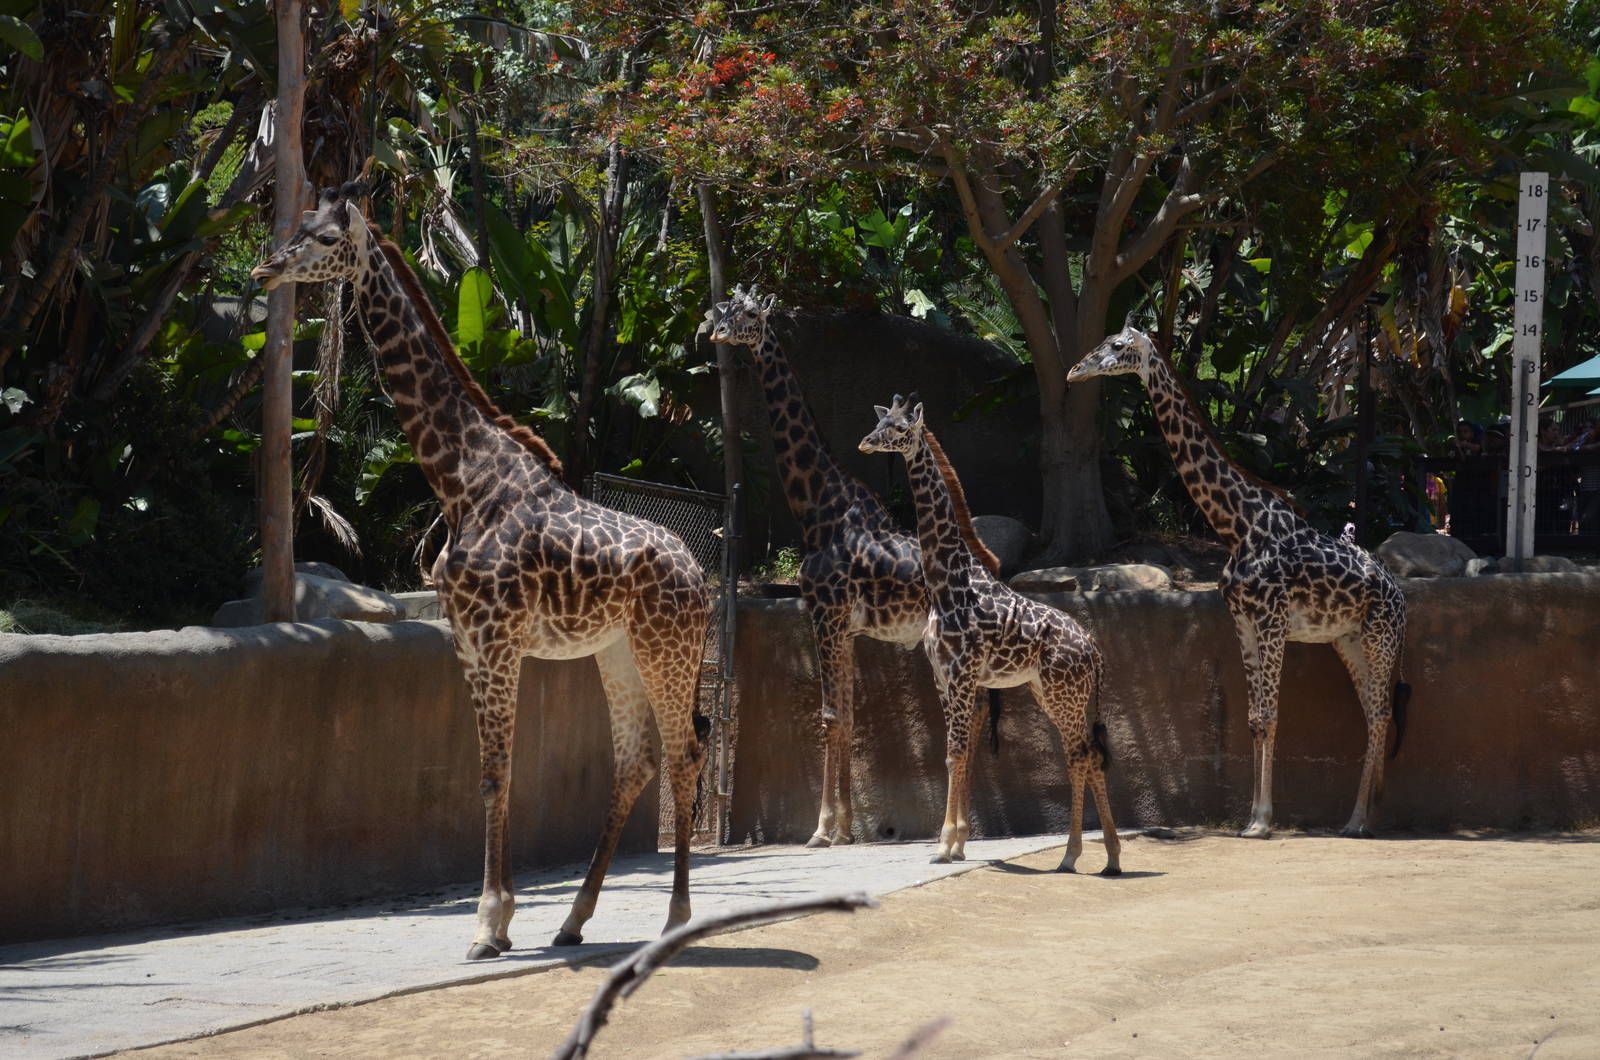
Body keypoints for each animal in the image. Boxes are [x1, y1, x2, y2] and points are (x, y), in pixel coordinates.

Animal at [251, 183, 711, 958]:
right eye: (299, 224)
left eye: (324, 239)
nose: (265, 269)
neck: (459, 479)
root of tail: (703, 578)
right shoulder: (467, 642)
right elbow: (492, 772)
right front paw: (504, 920)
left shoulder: (497, 639)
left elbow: (498, 774)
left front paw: (488, 923)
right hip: (616, 649)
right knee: (637, 761)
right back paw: (573, 920)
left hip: (666, 649)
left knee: (683, 755)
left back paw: (675, 920)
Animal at [708, 286, 1002, 847]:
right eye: (727, 307)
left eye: (750, 314)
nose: (715, 330)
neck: (817, 504)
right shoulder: (843, 627)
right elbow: (845, 716)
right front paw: (843, 828)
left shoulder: (824, 614)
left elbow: (829, 717)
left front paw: (821, 829)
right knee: (974, 711)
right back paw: (964, 828)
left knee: (972, 711)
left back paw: (958, 829)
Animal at [859, 395, 1122, 872]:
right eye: (880, 420)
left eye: (901, 428)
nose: (866, 443)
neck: (947, 582)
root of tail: (1095, 650)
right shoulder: (943, 678)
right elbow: (955, 753)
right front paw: (954, 843)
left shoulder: (963, 676)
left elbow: (956, 752)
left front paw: (945, 845)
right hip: (1050, 693)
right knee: (1086, 755)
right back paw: (1100, 856)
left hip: (1065, 694)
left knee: (1081, 755)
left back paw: (1077, 854)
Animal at [1067, 323, 1410, 838]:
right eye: (1105, 341)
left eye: (1118, 347)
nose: (1074, 371)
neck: (1236, 524)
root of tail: (1401, 596)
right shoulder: (1243, 622)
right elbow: (1252, 719)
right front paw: (1251, 815)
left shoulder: (1272, 621)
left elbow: (1269, 715)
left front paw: (1263, 821)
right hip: (1346, 639)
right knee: (1374, 712)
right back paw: (1362, 816)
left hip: (1379, 637)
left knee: (1383, 712)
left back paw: (1359, 821)